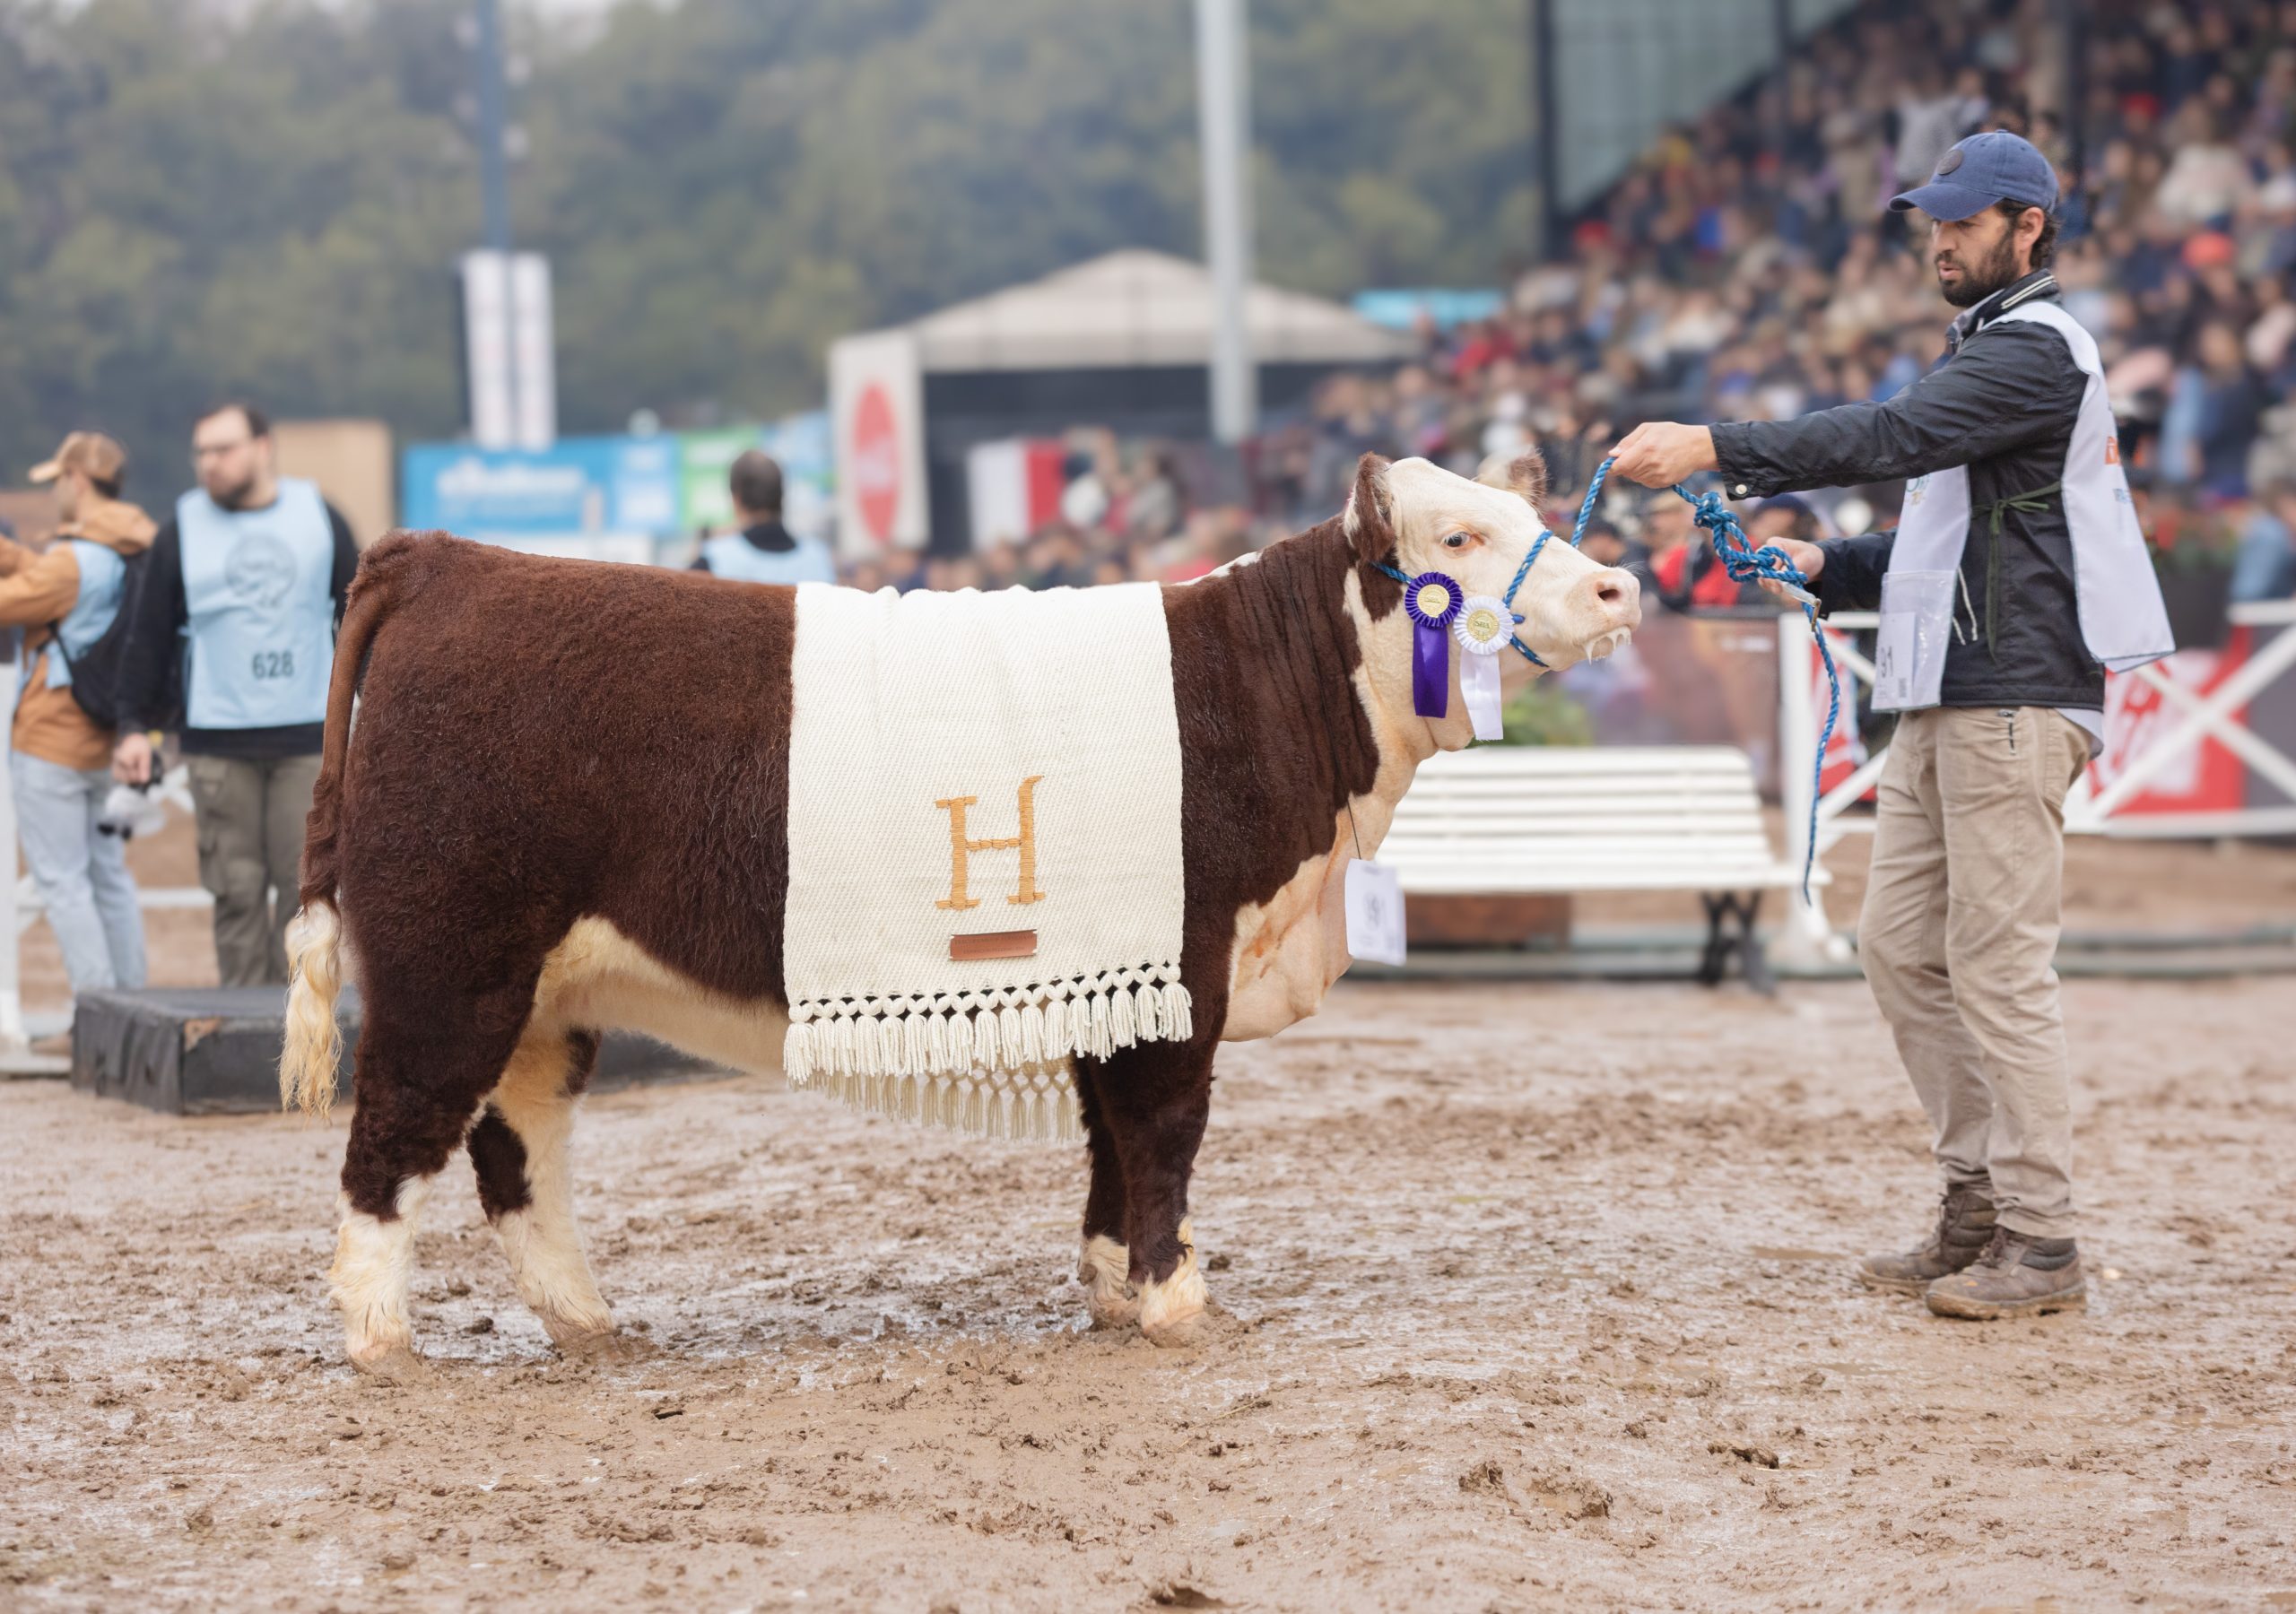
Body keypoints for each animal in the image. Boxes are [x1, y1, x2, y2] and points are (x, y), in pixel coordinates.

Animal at [282, 452, 1634, 1377]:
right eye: (1459, 533)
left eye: (1539, 520)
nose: (1618, 586)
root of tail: (446, 556)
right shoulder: (1178, 964)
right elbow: (1165, 1131)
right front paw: (1176, 1302)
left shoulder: (1109, 964)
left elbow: (1111, 1140)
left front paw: (1110, 1290)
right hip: (447, 962)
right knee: (394, 1139)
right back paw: (382, 1339)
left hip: (544, 987)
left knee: (519, 1146)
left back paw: (586, 1321)